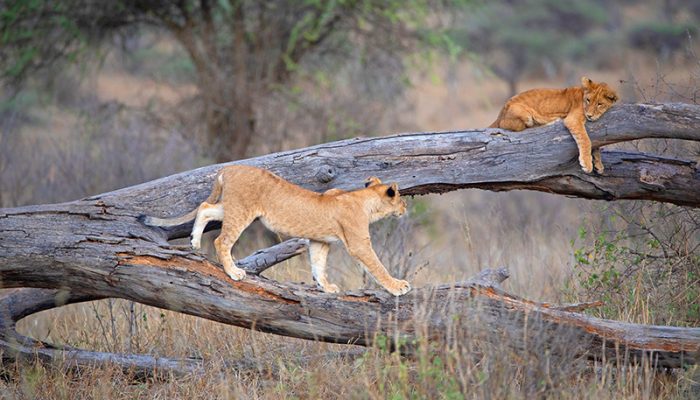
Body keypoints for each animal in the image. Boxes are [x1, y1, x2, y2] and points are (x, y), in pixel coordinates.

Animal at [139, 166, 411, 296]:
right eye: (401, 199)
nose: (406, 208)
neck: (365, 200)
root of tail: (228, 168)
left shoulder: (319, 241)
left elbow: (318, 264)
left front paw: (326, 287)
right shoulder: (358, 243)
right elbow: (377, 266)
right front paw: (397, 286)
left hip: (232, 207)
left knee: (204, 208)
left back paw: (195, 243)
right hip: (242, 212)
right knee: (221, 241)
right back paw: (234, 272)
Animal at [489, 77, 619, 173]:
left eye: (599, 104)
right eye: (588, 100)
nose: (589, 115)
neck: (582, 96)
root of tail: (500, 113)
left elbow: (596, 143)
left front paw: (598, 164)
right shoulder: (573, 119)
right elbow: (586, 140)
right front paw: (587, 164)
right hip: (524, 115)